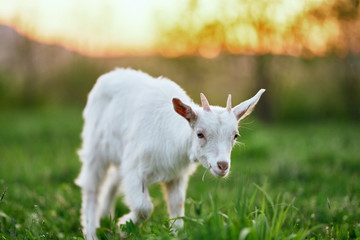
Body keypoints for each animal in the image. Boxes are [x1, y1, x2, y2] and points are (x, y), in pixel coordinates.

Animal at [74, 68, 264, 239]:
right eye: (200, 134)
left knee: (113, 180)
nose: (223, 165)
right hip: (95, 146)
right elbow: (144, 207)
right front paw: (123, 227)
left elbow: (177, 204)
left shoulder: (176, 176)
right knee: (91, 186)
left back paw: (105, 217)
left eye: (235, 135)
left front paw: (175, 232)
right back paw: (91, 231)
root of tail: (110, 74)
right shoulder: (135, 168)